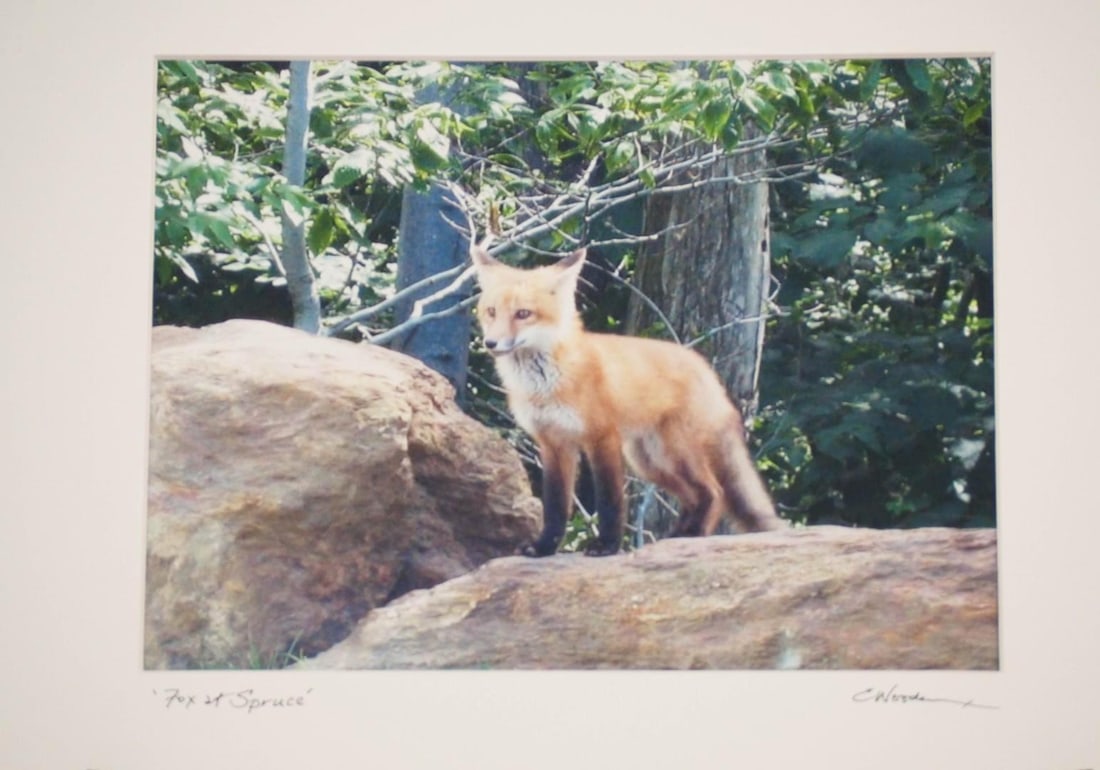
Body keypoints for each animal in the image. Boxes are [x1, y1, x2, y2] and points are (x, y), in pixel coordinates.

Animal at [470, 243, 787, 557]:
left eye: (523, 314)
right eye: (491, 312)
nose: (490, 343)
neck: (546, 384)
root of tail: (706, 369)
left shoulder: (602, 437)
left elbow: (610, 500)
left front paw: (607, 545)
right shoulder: (553, 443)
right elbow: (556, 506)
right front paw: (544, 546)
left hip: (672, 452)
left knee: (714, 492)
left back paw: (693, 536)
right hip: (649, 461)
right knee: (695, 496)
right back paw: (678, 536)